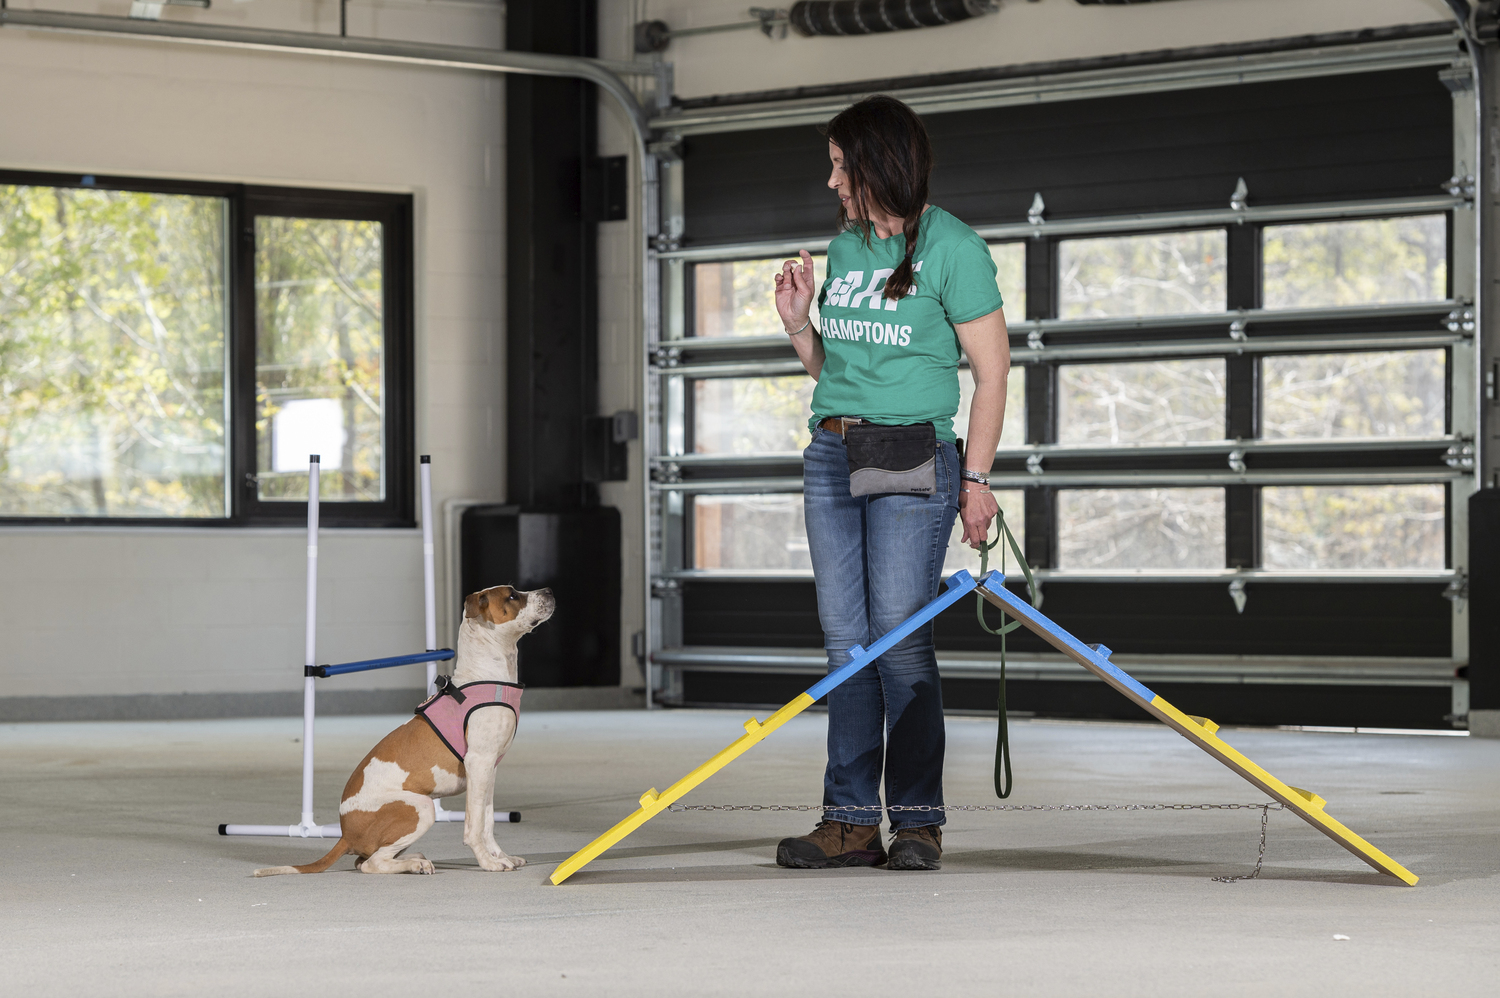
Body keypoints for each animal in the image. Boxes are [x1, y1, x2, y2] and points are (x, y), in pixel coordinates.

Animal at [255, 579, 555, 876]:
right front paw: (488, 862)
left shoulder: (489, 769)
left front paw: (500, 855)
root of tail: (344, 834)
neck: (486, 674)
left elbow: (488, 822)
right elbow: (474, 826)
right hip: (421, 806)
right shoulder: (478, 763)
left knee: (365, 860)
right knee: (371, 864)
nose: (549, 590)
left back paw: (415, 859)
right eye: (512, 595)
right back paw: (415, 863)